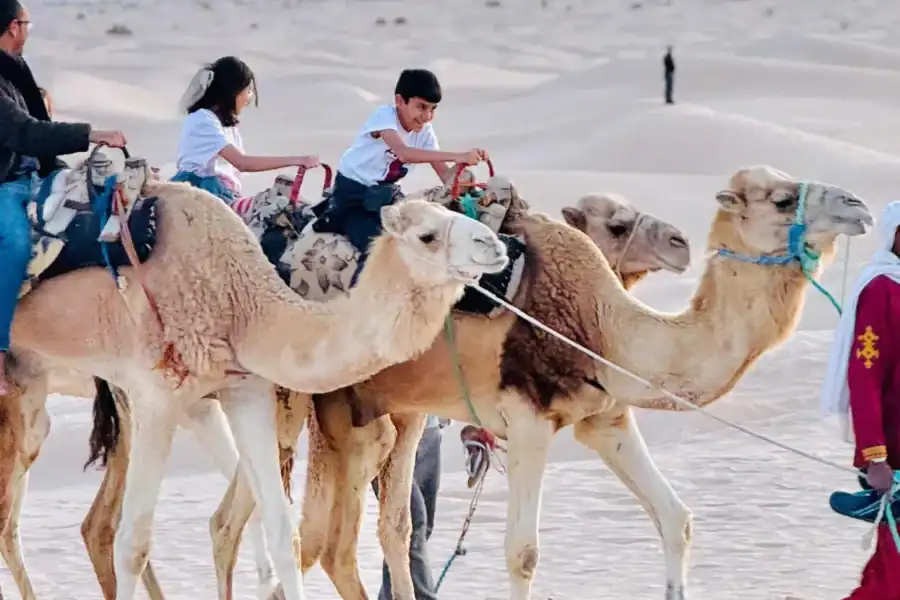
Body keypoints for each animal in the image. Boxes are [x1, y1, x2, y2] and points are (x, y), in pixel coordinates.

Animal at [2, 166, 509, 600]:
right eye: (427, 235)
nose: (495, 245)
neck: (241, 306)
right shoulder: (156, 396)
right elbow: (134, 544)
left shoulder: (245, 389)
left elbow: (284, 531)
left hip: (34, 387)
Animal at [203, 165, 872, 600]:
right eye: (781, 199)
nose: (859, 206)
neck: (602, 321)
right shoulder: (527, 419)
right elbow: (522, 553)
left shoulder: (604, 416)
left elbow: (675, 518)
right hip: (291, 399)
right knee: (245, 525)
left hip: (379, 412)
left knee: (356, 536)